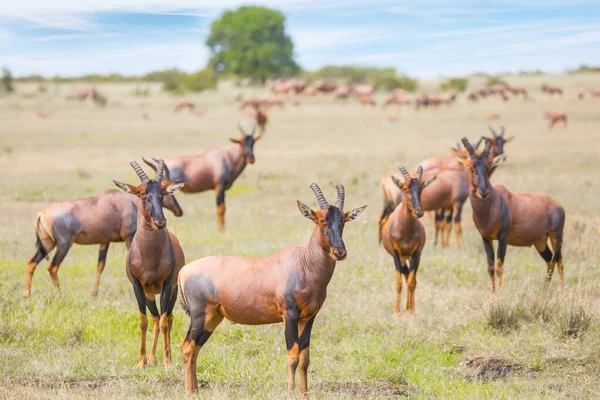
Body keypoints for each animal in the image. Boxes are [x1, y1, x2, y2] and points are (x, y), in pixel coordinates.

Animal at [24, 188, 183, 296]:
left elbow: (100, 265)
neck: (126, 203)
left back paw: (27, 294)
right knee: (52, 267)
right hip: (63, 245)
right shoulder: (129, 236)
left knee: (32, 261)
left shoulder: (104, 241)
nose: (178, 211)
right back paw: (59, 294)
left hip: (48, 244)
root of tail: (42, 213)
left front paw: (94, 293)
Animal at [113, 157, 185, 368]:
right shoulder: (137, 286)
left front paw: (167, 363)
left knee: (167, 318)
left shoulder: (168, 284)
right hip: (150, 294)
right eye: (143, 195)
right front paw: (141, 362)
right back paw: (152, 358)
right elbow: (143, 321)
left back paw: (167, 357)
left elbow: (165, 322)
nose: (160, 222)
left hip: (171, 292)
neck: (149, 255)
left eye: (162, 195)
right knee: (154, 317)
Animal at [178, 183, 366, 396]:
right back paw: (189, 391)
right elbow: (292, 356)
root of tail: (184, 270)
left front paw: (304, 393)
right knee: (187, 347)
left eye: (343, 221)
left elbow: (305, 358)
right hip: (201, 316)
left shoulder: (309, 318)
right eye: (322, 220)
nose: (340, 252)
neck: (303, 262)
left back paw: (195, 390)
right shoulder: (289, 315)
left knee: (195, 348)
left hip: (213, 318)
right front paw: (291, 393)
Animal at [380, 163, 436, 316]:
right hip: (403, 258)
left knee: (412, 279)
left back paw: (410, 308)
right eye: (405, 188)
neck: (405, 231)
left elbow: (412, 282)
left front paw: (411, 312)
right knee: (405, 277)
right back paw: (405, 308)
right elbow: (399, 283)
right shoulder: (395, 254)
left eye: (421, 188)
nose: (419, 212)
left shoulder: (416, 253)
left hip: (412, 257)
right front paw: (397, 312)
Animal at [458, 139, 564, 292]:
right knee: (550, 260)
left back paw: (562, 289)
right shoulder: (486, 237)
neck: (494, 201)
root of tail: (558, 205)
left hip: (556, 235)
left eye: (488, 167)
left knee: (559, 260)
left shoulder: (503, 236)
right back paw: (544, 290)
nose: (483, 192)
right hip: (540, 241)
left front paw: (500, 294)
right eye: (471, 168)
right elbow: (490, 267)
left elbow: (499, 266)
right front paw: (492, 294)